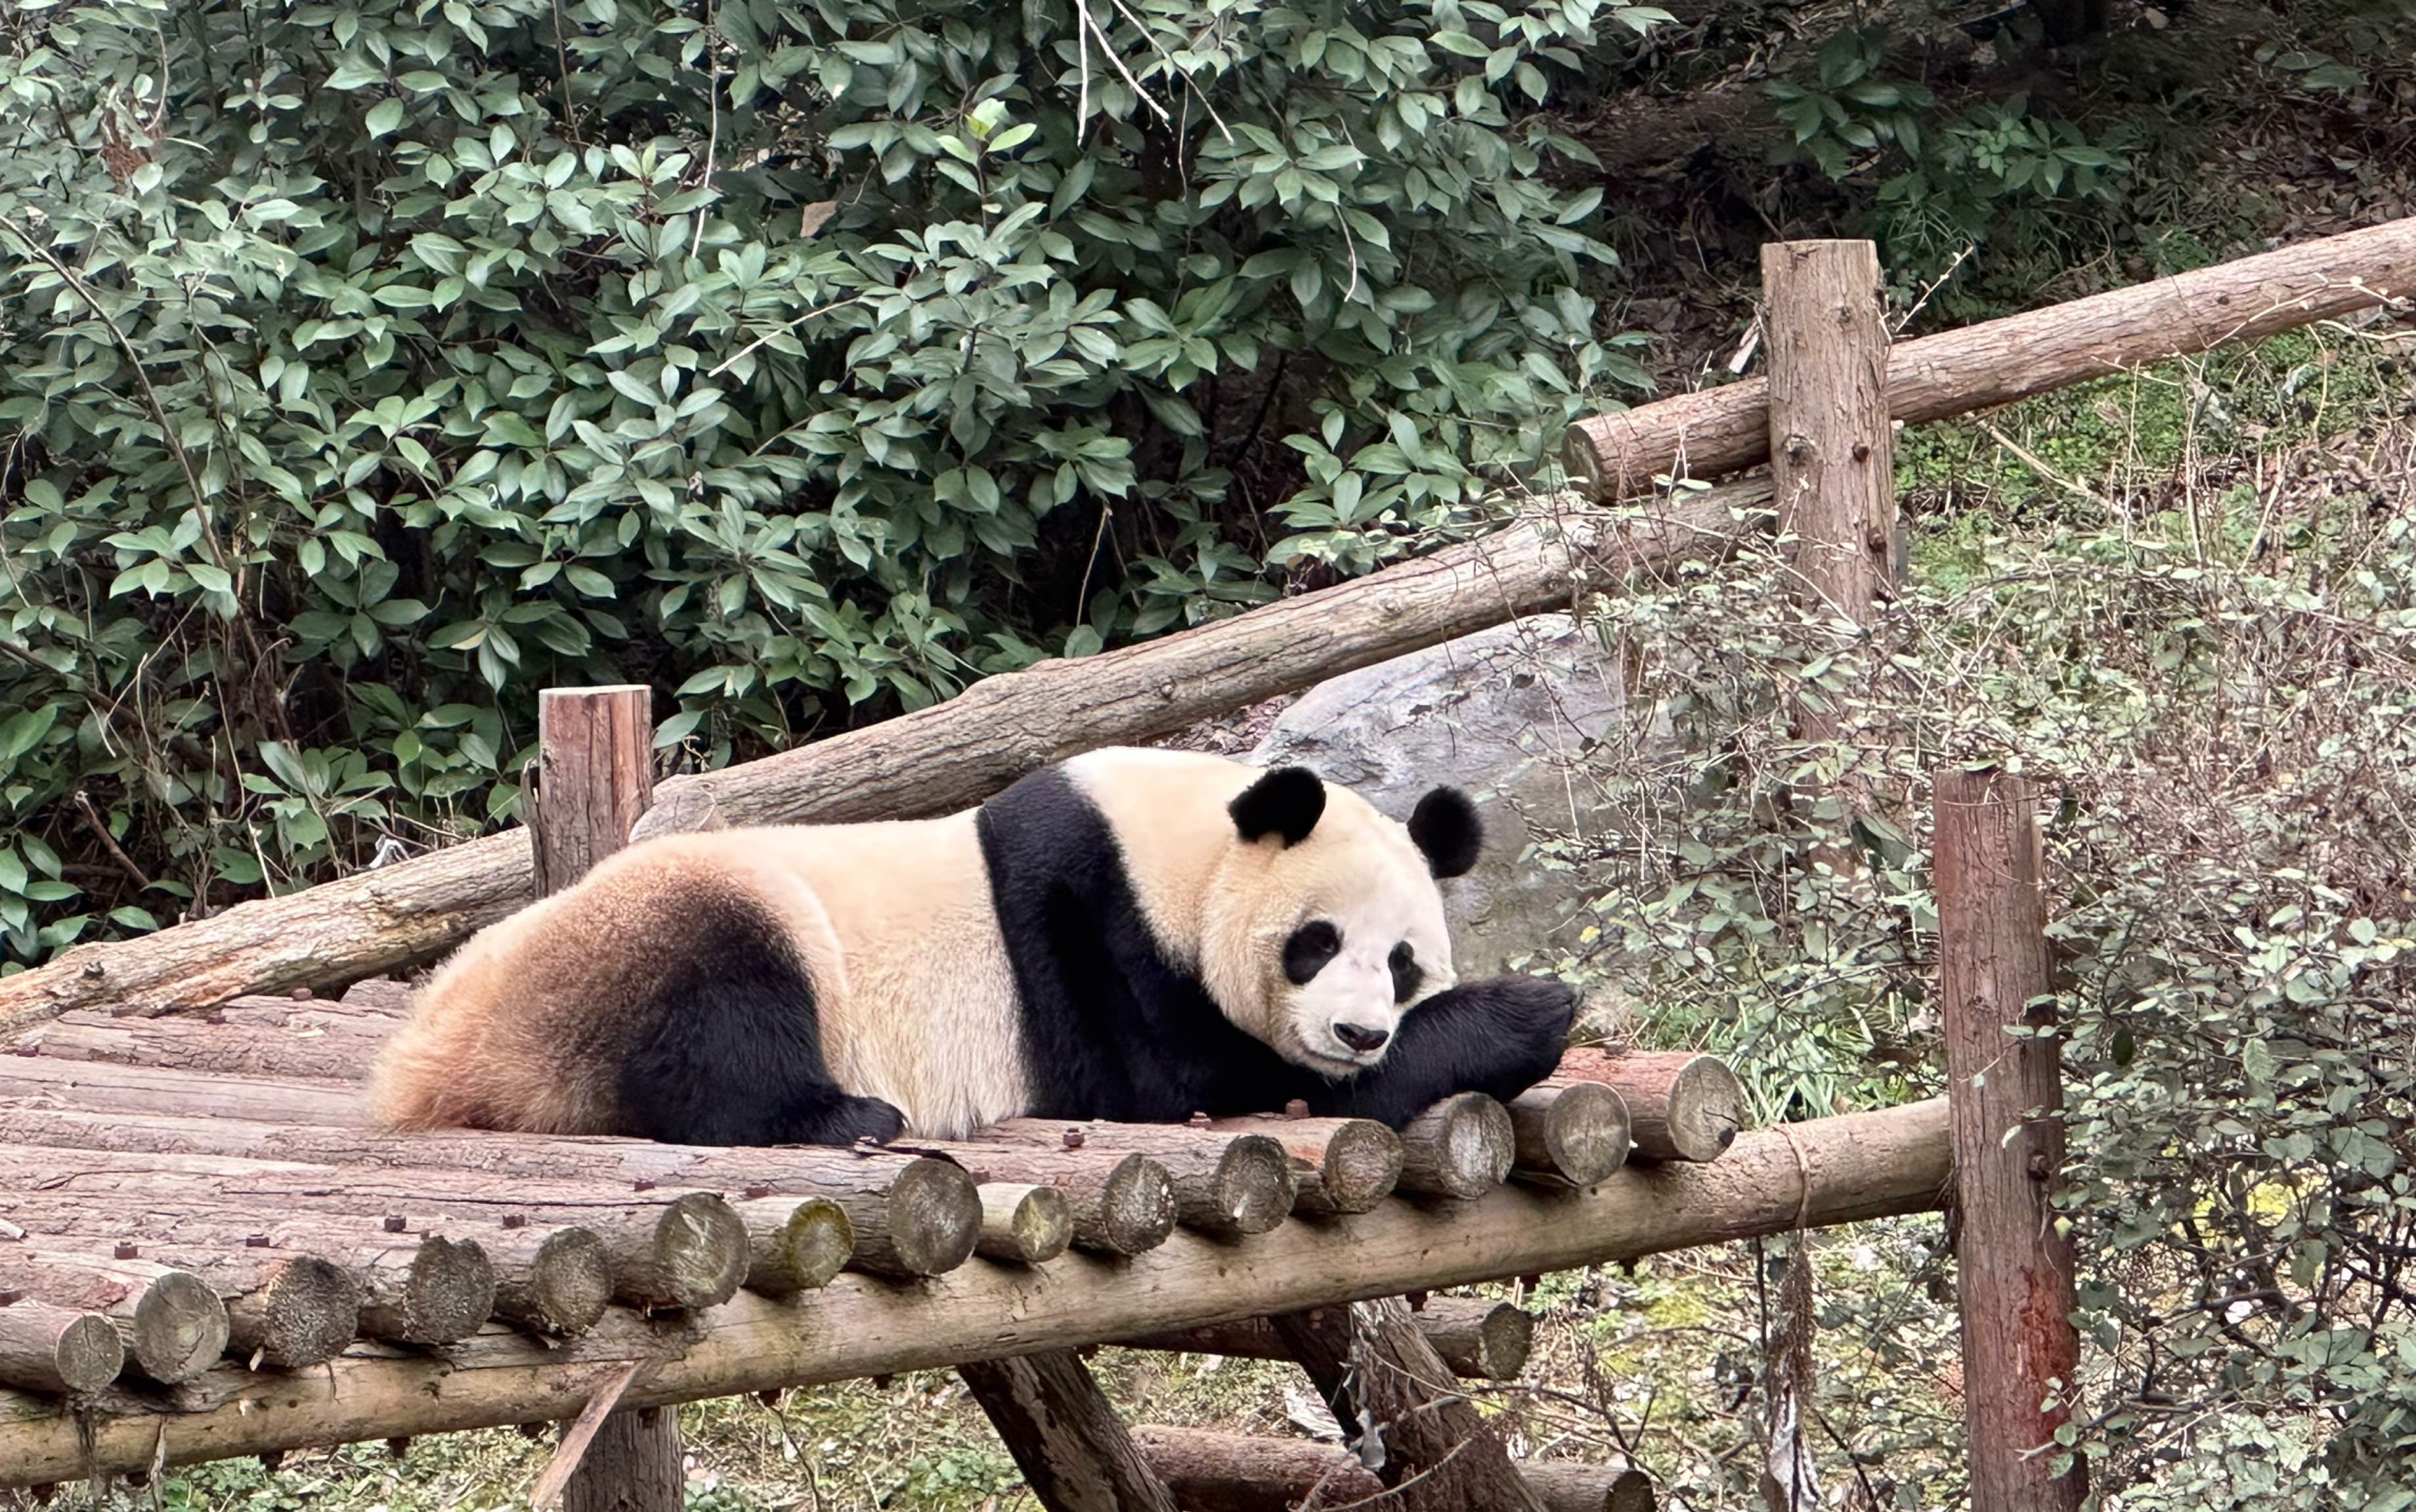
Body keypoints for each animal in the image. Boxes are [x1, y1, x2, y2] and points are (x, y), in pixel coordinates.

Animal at [367, 744, 1575, 1140]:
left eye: (1404, 961)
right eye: (1315, 943)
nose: (1360, 1032)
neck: (1184, 850)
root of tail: (428, 1057)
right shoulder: (1097, 924)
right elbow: (1182, 1076)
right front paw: (1530, 1011)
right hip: (667, 926)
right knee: (719, 1016)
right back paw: (844, 1115)